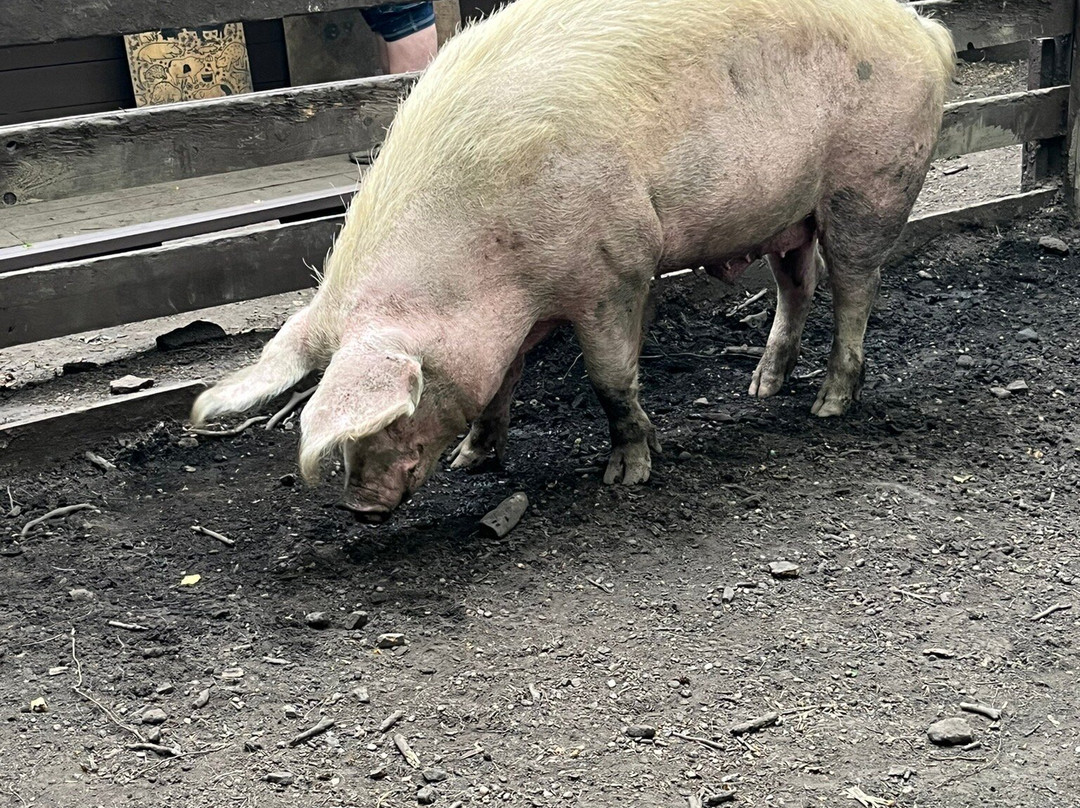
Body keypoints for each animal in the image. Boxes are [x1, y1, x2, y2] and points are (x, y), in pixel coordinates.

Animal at [191, 0, 954, 521]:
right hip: (790, 214)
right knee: (799, 286)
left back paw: (828, 406)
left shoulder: (616, 268)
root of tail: (924, 30)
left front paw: (627, 476)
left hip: (870, 185)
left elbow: (610, 380)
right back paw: (760, 390)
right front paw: (473, 463)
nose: (361, 508)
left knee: (855, 291)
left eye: (400, 408)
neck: (487, 266)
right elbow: (502, 381)